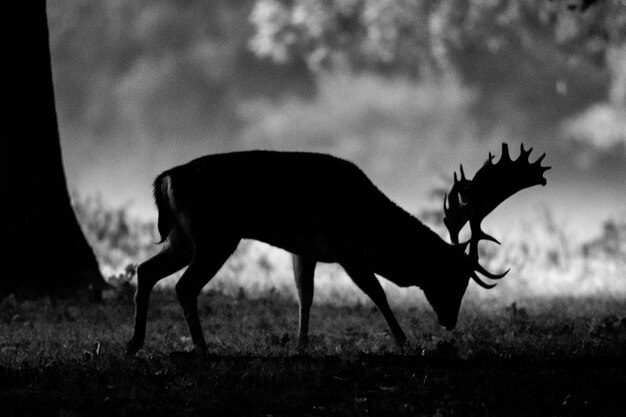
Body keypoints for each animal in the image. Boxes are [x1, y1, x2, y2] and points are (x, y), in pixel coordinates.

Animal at [124, 143, 548, 354]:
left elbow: (305, 296)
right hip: (215, 235)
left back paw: (134, 344)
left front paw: (300, 346)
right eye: (455, 279)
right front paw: (404, 341)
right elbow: (377, 294)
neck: (370, 226)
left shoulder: (304, 249)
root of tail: (165, 178)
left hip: (184, 237)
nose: (449, 322)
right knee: (184, 285)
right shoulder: (347, 250)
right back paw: (202, 349)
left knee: (145, 270)